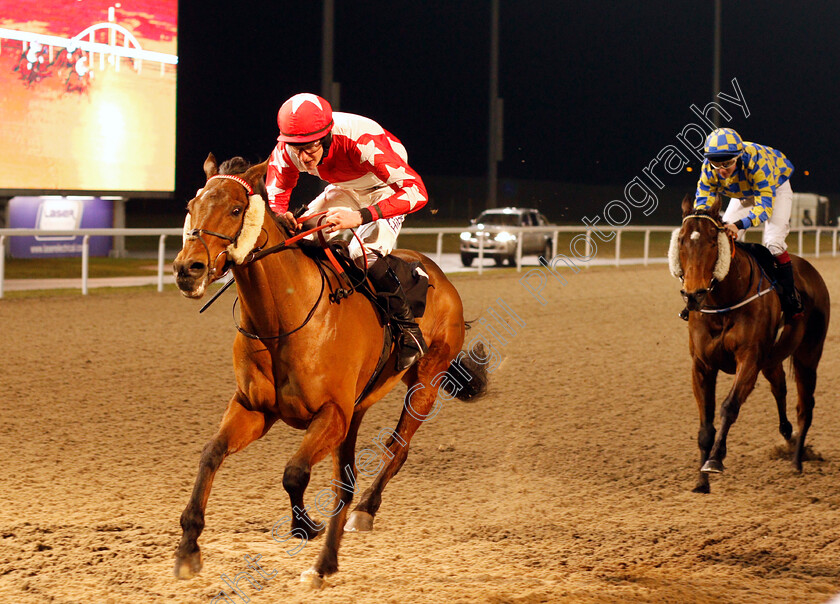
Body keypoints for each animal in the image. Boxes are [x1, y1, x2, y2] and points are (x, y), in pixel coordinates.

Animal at [171, 155, 486, 584]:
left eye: (236, 209)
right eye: (191, 206)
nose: (188, 268)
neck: (282, 319)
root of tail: (438, 276)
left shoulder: (331, 413)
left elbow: (294, 472)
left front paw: (305, 526)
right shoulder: (254, 409)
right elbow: (210, 454)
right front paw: (189, 546)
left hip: (425, 382)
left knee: (397, 450)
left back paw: (364, 511)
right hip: (361, 405)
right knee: (349, 474)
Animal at [672, 196, 832, 494]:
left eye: (713, 241)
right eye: (682, 240)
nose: (693, 294)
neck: (723, 302)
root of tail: (811, 271)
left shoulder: (749, 359)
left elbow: (729, 406)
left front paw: (715, 459)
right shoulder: (702, 365)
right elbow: (705, 425)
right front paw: (701, 481)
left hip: (808, 356)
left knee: (805, 407)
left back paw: (797, 461)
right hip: (771, 360)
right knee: (779, 387)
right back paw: (787, 434)